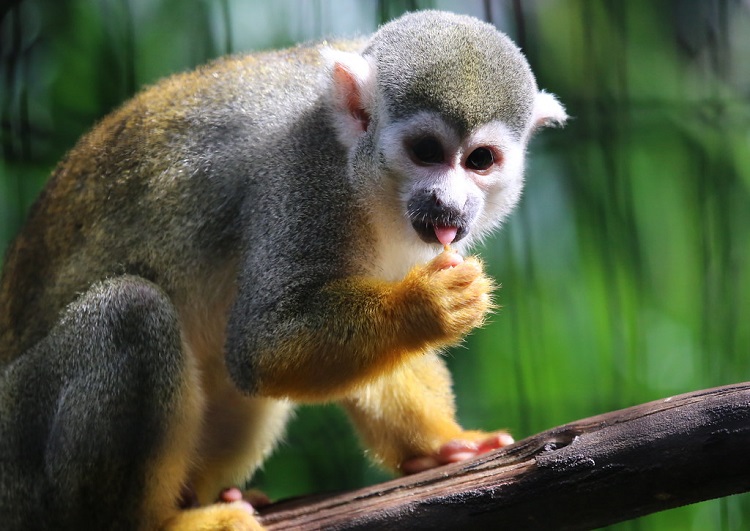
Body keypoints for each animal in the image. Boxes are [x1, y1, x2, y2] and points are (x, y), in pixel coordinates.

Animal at [0, 9, 564, 531]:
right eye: (425, 151)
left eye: (480, 160)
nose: (448, 204)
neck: (362, 177)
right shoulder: (303, 175)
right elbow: (262, 345)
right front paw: (427, 305)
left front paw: (445, 443)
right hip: (23, 460)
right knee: (131, 312)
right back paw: (161, 521)